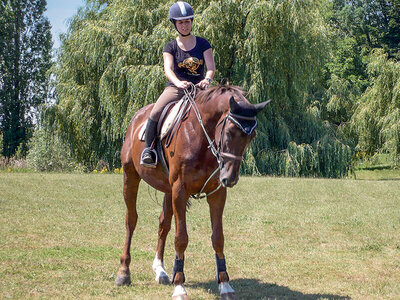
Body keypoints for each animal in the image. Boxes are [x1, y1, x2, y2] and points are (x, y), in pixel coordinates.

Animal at [115, 84, 270, 300]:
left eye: (251, 136)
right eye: (230, 132)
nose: (230, 178)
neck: (200, 136)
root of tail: (136, 118)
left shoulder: (216, 193)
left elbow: (218, 238)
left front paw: (225, 284)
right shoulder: (180, 190)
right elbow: (181, 238)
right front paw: (179, 286)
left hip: (167, 189)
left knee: (163, 224)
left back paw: (161, 270)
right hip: (130, 175)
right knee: (131, 220)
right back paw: (124, 273)